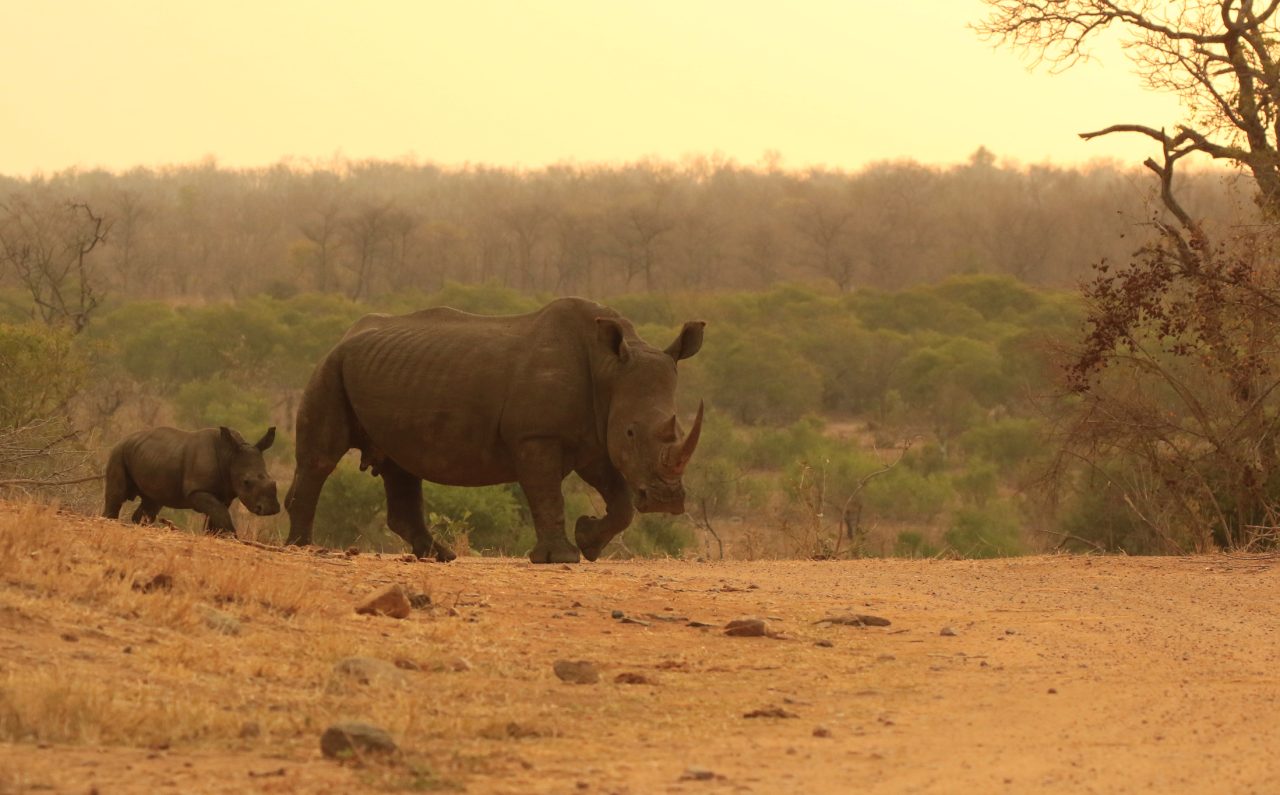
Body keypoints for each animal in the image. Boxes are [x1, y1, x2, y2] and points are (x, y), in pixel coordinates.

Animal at [102, 427, 280, 532]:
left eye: (273, 480)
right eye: (246, 482)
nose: (270, 509)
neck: (229, 456)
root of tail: (124, 439)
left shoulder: (225, 494)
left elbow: (217, 515)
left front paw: (218, 536)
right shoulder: (197, 491)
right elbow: (220, 512)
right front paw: (232, 536)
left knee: (152, 502)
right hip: (118, 452)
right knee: (117, 495)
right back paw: (108, 521)